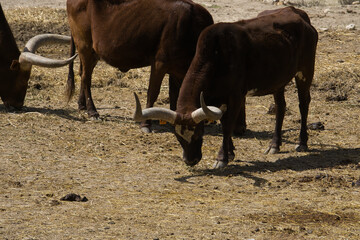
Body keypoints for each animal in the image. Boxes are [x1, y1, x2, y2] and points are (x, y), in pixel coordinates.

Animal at [65, 0, 214, 131]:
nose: (209, 120)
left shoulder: (176, 69)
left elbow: (175, 93)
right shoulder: (159, 64)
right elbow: (152, 93)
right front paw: (146, 124)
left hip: (91, 52)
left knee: (82, 74)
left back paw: (82, 105)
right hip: (85, 46)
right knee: (86, 78)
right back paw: (92, 111)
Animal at [134, 7, 318, 169]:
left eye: (199, 133)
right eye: (177, 136)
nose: (190, 161)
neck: (216, 56)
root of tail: (298, 13)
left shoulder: (236, 96)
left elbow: (227, 126)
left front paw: (222, 158)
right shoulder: (217, 99)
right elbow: (224, 122)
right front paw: (230, 152)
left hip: (305, 71)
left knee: (303, 104)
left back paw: (302, 142)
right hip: (279, 80)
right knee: (281, 107)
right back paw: (274, 145)